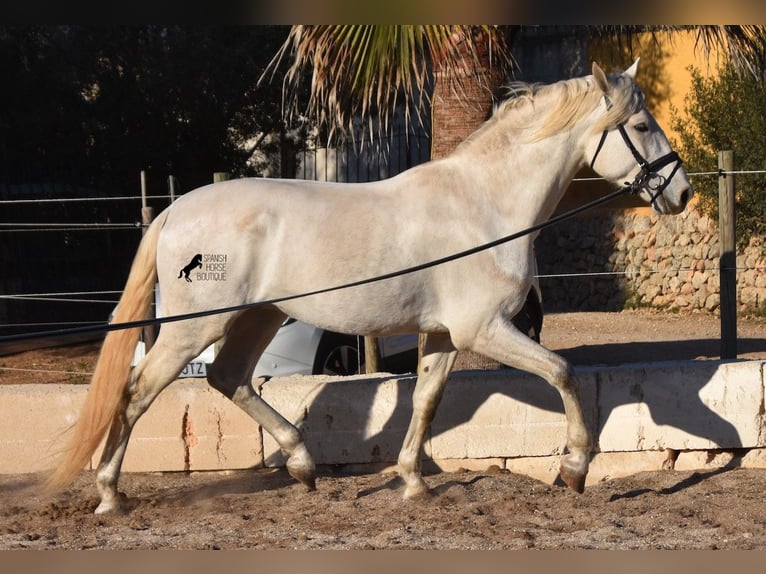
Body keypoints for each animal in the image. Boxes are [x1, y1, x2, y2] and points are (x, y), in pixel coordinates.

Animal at [48, 60, 696, 516]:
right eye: (641, 125)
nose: (682, 192)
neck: (485, 207)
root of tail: (174, 209)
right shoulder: (483, 329)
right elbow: (563, 373)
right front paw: (574, 470)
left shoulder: (443, 336)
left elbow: (425, 401)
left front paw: (413, 484)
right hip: (195, 327)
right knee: (136, 392)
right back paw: (110, 495)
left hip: (257, 318)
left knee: (227, 379)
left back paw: (304, 466)